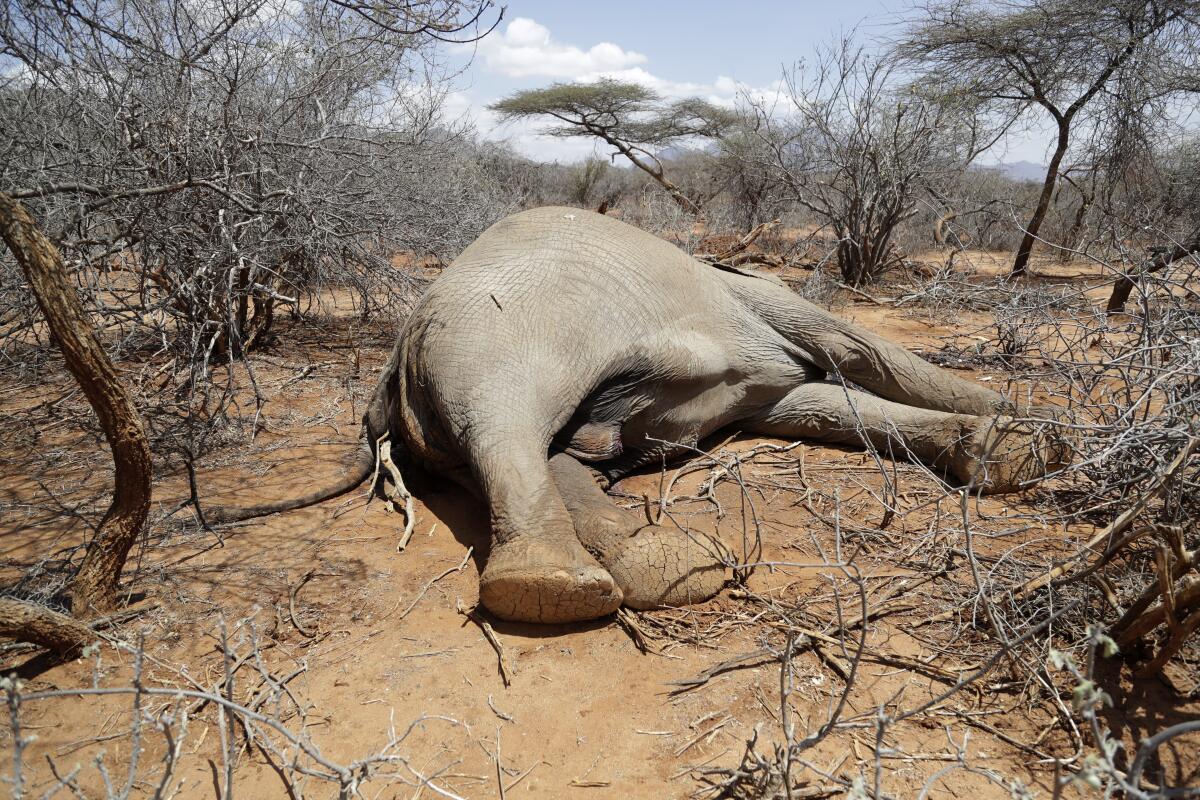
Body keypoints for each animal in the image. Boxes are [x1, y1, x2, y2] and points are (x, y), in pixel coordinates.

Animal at [216, 206, 1070, 623]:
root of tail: (392, 358)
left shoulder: (761, 369)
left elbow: (823, 405)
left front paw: (1007, 448)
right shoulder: (761, 301)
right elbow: (852, 351)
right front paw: (1028, 436)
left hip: (451, 395)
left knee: (545, 452)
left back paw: (660, 568)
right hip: (493, 329)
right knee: (508, 422)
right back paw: (559, 588)